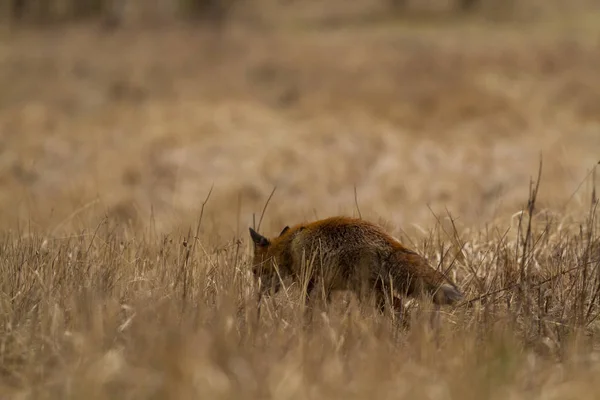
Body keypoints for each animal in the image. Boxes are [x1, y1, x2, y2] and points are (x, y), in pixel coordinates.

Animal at [248, 214, 464, 314]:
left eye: (255, 271)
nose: (258, 296)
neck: (288, 247)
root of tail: (389, 241)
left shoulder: (311, 285)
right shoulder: (326, 289)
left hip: (367, 290)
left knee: (397, 307)